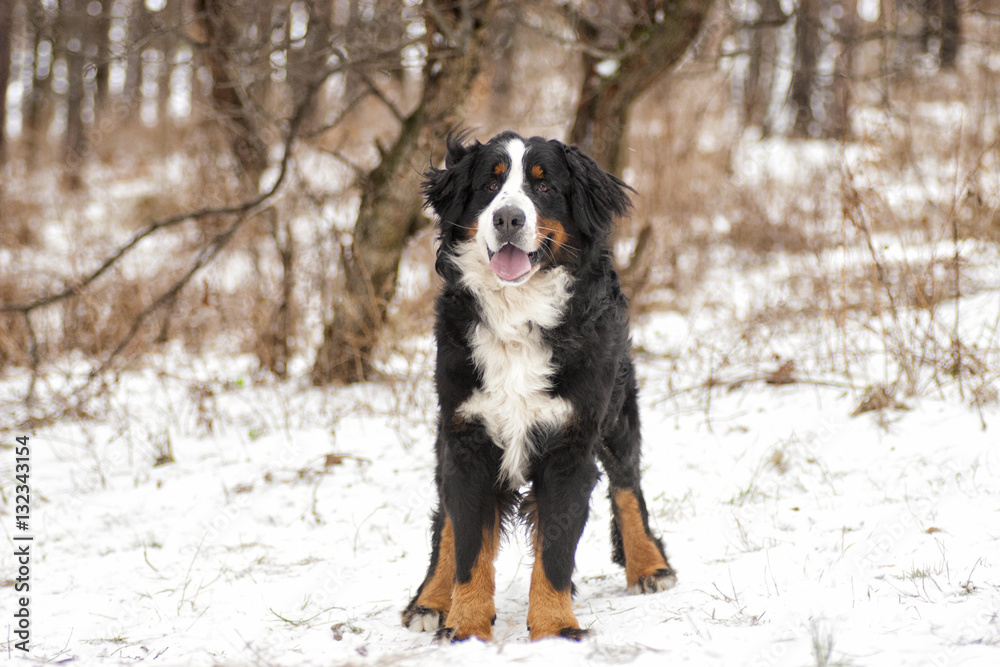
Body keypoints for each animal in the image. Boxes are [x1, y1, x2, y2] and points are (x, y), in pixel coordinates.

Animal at [402, 129, 676, 640]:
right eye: (490, 185)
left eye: (543, 185)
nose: (508, 217)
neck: (517, 315)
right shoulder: (467, 436)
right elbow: (468, 546)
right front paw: (465, 627)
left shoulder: (569, 443)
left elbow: (554, 551)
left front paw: (555, 629)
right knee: (445, 518)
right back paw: (429, 600)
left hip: (616, 412)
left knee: (627, 485)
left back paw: (651, 565)